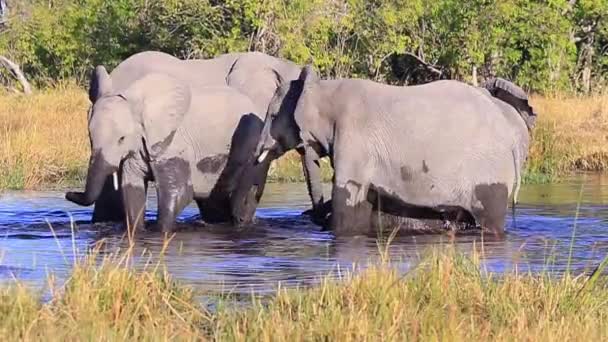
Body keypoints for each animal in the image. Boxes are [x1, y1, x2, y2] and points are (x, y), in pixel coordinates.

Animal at [256, 66, 536, 238]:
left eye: (272, 115)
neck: (325, 88)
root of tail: (510, 136)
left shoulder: (354, 138)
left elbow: (347, 204)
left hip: (490, 173)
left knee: (490, 222)